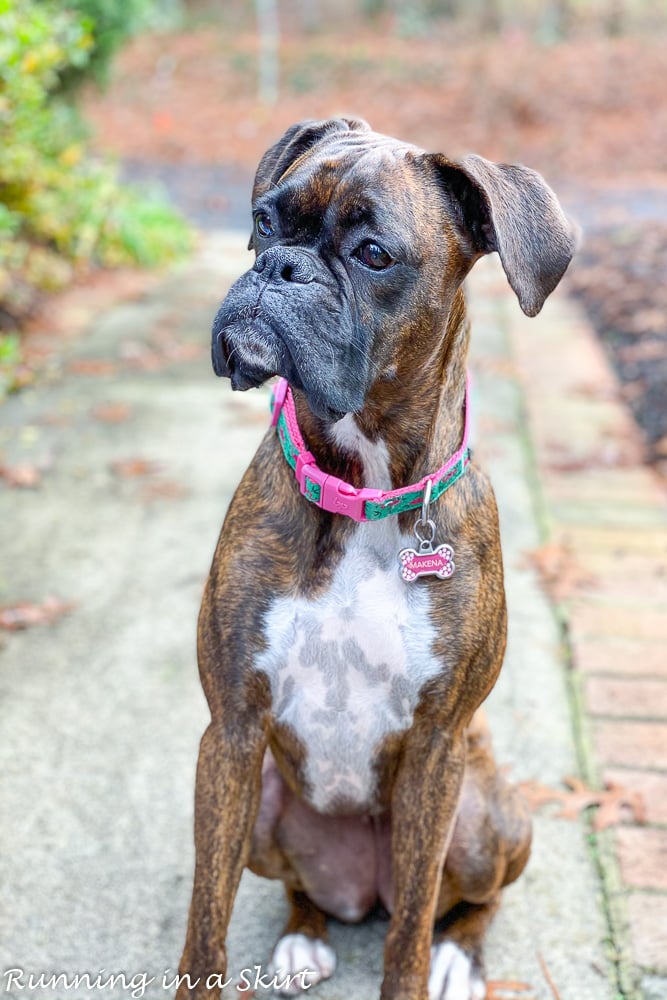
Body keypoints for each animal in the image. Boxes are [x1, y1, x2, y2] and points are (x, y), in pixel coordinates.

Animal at [176, 119, 576, 1000]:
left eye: (372, 254)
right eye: (264, 220)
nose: (278, 269)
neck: (362, 487)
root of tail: (361, 891)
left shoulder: (435, 753)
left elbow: (409, 939)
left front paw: (427, 963)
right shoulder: (230, 733)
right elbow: (205, 920)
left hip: (480, 815)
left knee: (456, 904)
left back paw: (461, 954)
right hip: (262, 802)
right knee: (303, 890)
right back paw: (303, 935)